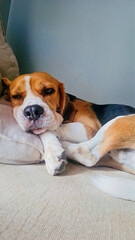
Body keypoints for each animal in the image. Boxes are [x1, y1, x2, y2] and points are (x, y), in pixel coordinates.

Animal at [2, 72, 135, 200]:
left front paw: (52, 154)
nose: (33, 111)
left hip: (119, 121)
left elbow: (50, 128)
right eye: (16, 96)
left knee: (85, 153)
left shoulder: (89, 129)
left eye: (48, 91)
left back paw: (63, 148)